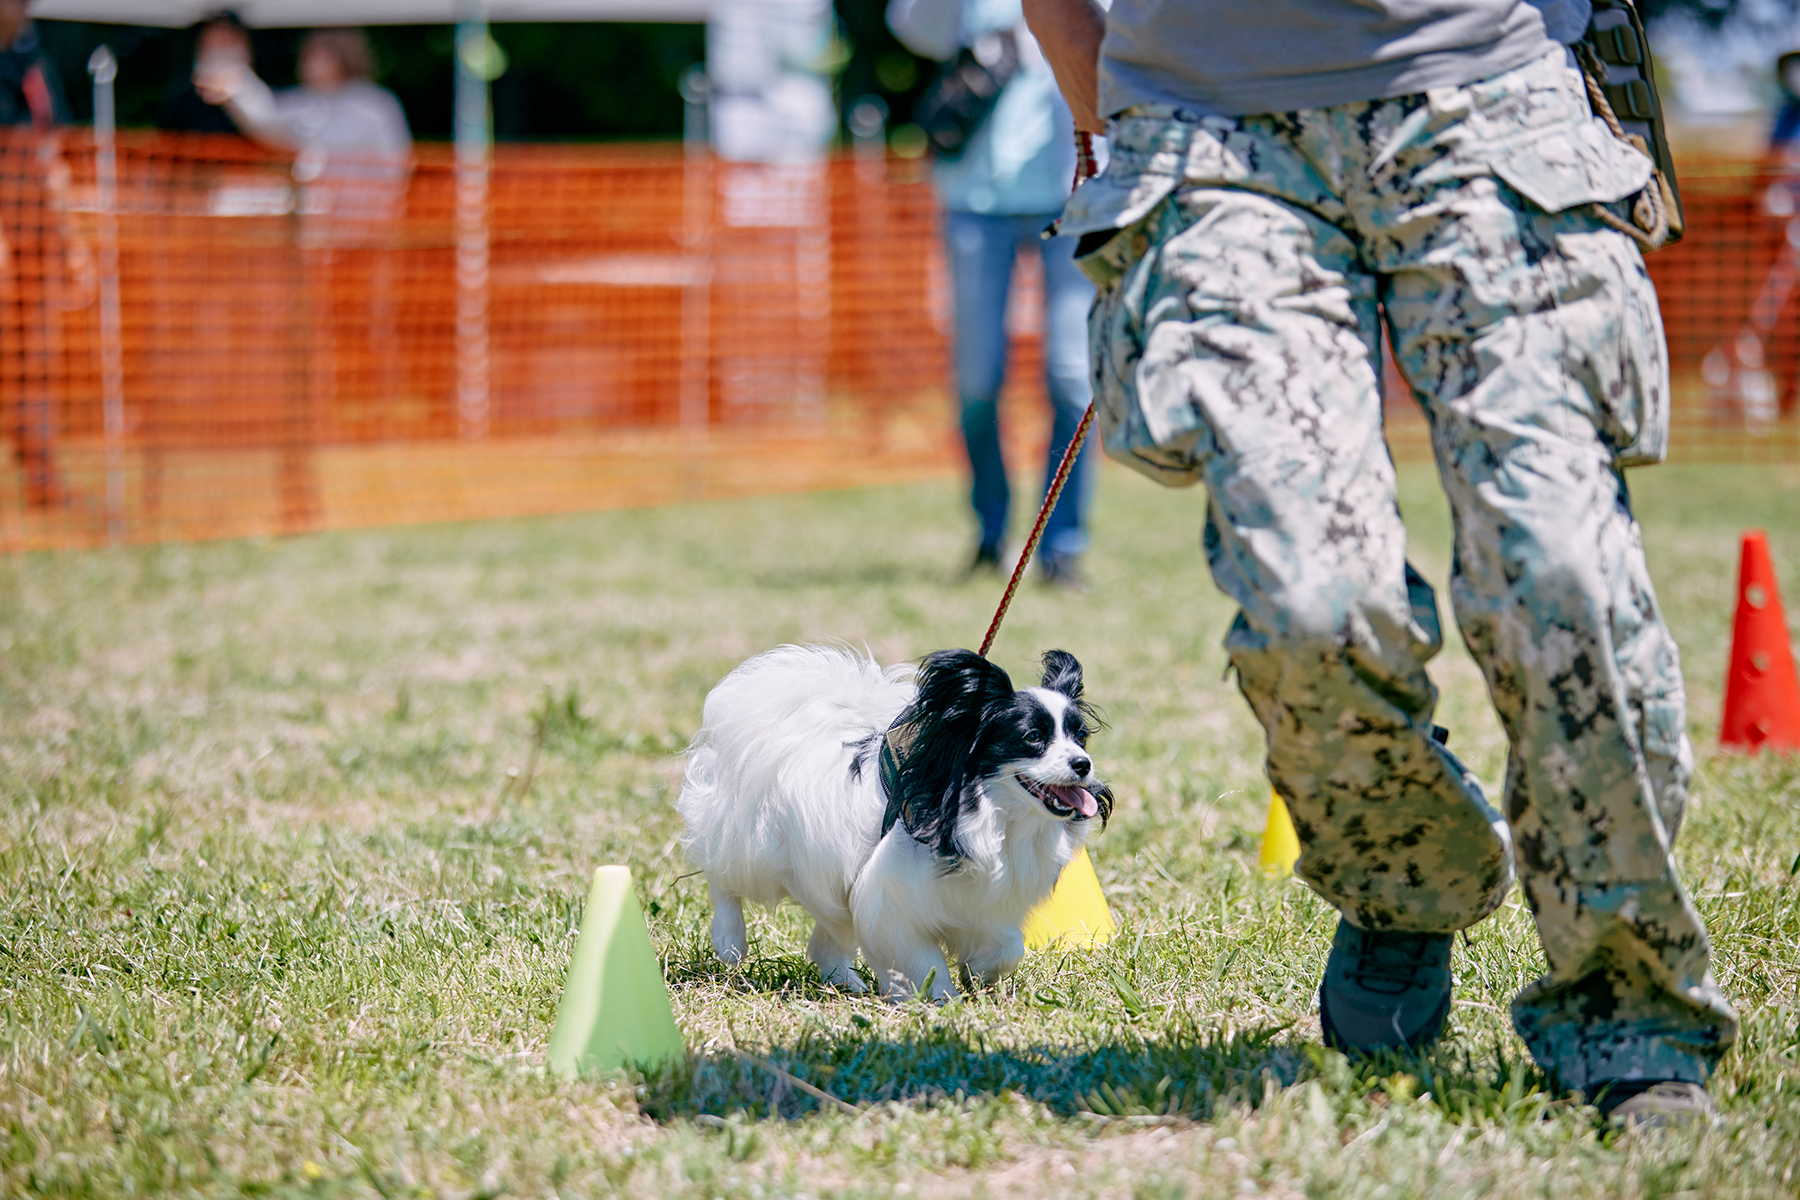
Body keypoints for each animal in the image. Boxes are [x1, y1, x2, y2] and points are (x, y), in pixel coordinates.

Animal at [673, 647, 1101, 1007]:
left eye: (1080, 737)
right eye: (1033, 737)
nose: (1083, 764)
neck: (989, 811)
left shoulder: (985, 901)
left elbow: (1009, 946)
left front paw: (979, 972)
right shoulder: (891, 900)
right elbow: (921, 958)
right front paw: (938, 999)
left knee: (826, 941)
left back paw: (846, 982)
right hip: (751, 847)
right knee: (722, 878)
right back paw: (729, 940)